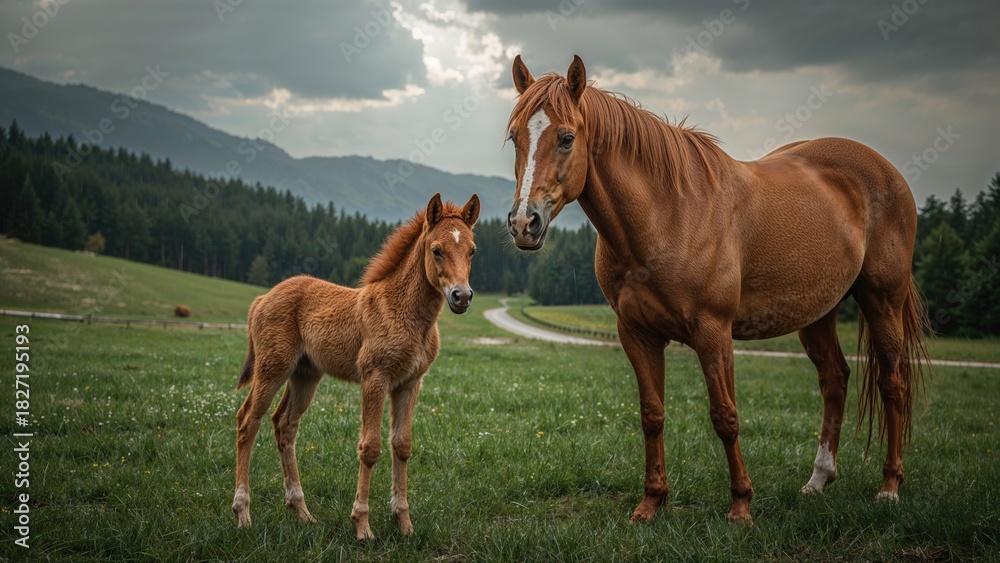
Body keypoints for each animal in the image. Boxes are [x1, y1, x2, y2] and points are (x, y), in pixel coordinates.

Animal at [231, 193, 480, 539]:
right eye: (436, 250)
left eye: (472, 250)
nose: (462, 296)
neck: (404, 312)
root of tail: (261, 299)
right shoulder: (375, 378)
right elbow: (370, 447)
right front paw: (362, 525)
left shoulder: (410, 382)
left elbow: (402, 445)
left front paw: (404, 523)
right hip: (272, 368)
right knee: (248, 421)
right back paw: (243, 513)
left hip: (305, 375)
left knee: (285, 424)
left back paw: (302, 512)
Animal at [503, 55, 929, 522]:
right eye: (514, 137)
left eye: (566, 138)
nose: (524, 223)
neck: (668, 214)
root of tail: (886, 171)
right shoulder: (637, 333)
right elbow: (652, 414)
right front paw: (651, 503)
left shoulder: (713, 332)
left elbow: (725, 416)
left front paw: (741, 505)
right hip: (819, 312)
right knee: (834, 379)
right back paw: (818, 480)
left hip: (882, 299)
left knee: (893, 383)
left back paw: (890, 486)